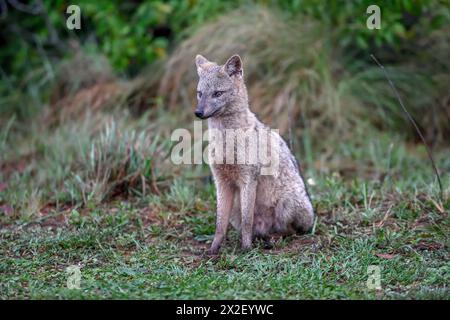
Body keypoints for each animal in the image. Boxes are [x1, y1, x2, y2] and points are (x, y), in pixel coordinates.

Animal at [195, 55, 314, 255]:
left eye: (217, 93)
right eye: (200, 93)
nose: (198, 112)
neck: (227, 140)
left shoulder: (248, 180)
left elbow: (247, 221)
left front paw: (246, 249)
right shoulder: (222, 182)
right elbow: (220, 225)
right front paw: (213, 250)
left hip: (285, 205)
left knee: (291, 231)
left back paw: (273, 239)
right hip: (237, 209)